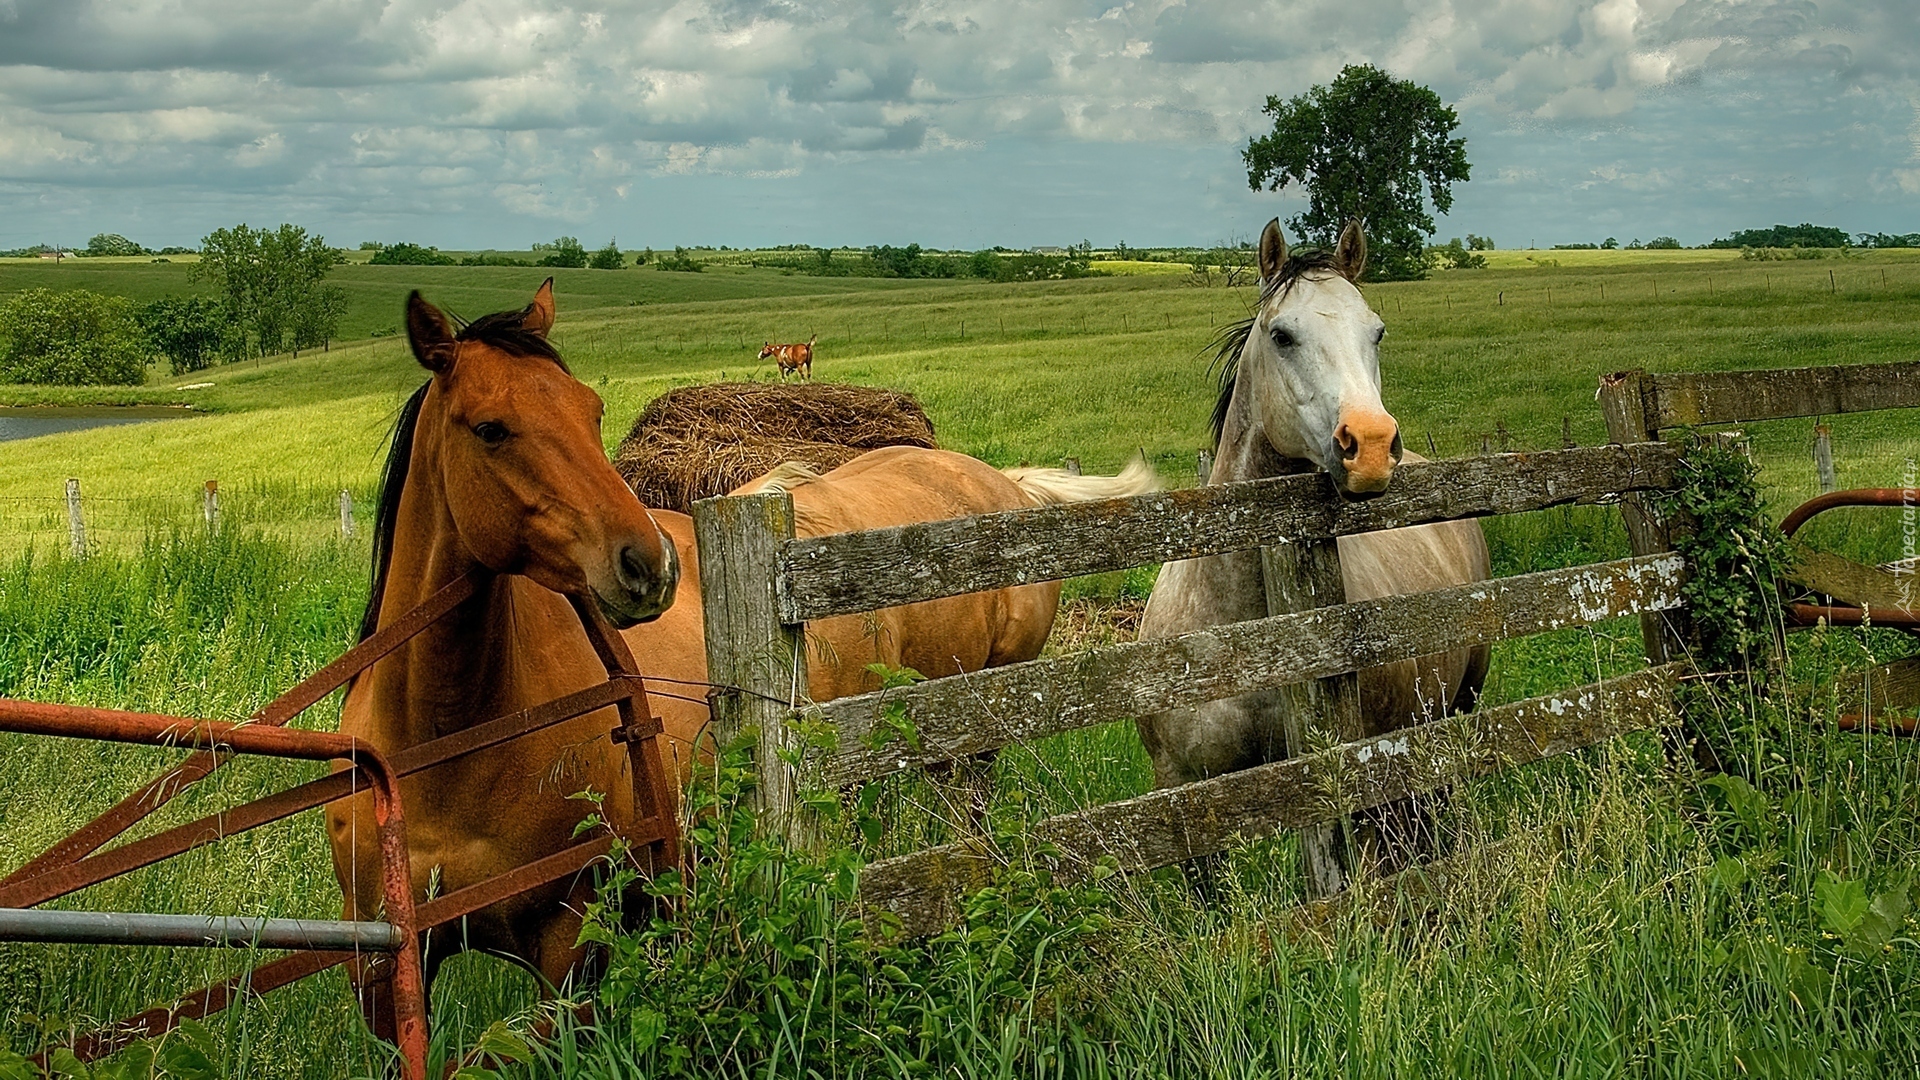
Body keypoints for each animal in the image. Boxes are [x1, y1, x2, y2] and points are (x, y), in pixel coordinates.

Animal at [330, 276, 1152, 1014]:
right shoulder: (383, 973)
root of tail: (1001, 483)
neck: (449, 743)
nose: (649, 562)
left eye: (591, 411)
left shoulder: (572, 953)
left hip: (977, 736)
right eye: (489, 428)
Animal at [1128, 219, 1489, 853]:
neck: (1247, 639)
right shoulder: (1181, 792)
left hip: (1458, 706)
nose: (1372, 446)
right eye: (1282, 335)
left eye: (1377, 331)